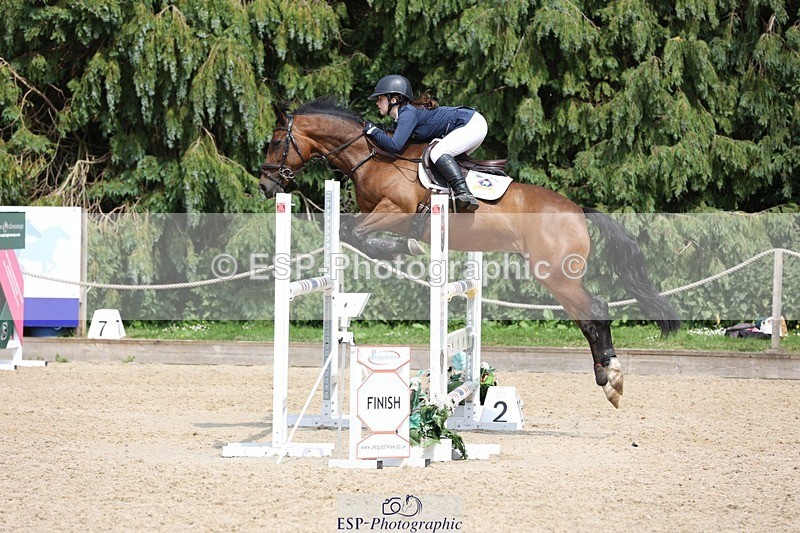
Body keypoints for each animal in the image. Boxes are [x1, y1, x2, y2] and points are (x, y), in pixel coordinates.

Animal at [259, 97, 680, 408]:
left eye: (277, 142)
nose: (265, 185)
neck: (372, 157)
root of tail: (578, 210)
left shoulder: (395, 211)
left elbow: (354, 232)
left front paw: (401, 248)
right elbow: (347, 232)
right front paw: (397, 250)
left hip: (555, 274)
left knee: (596, 312)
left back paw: (611, 378)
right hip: (557, 276)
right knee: (589, 317)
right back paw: (607, 375)